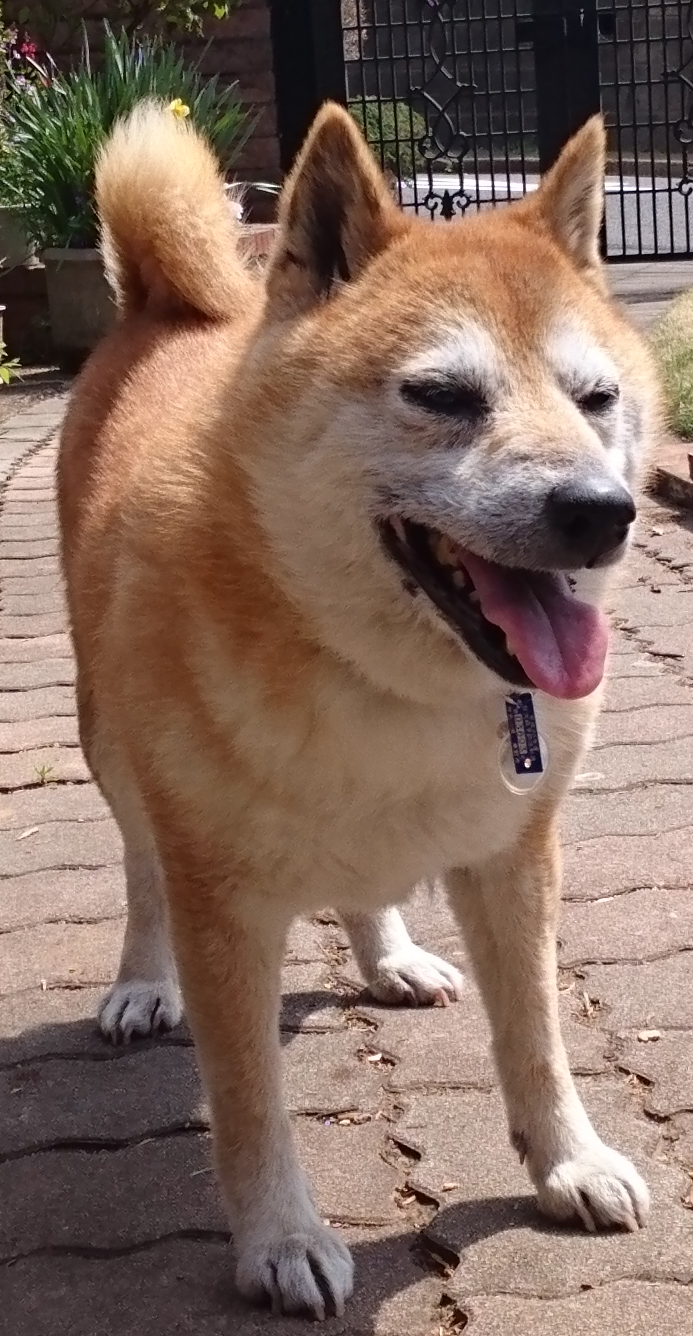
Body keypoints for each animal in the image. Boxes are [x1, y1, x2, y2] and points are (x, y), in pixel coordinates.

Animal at [58, 101, 656, 1314]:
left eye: (596, 399)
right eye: (443, 395)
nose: (601, 512)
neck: (382, 678)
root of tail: (163, 309)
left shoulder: (514, 852)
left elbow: (535, 1035)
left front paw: (567, 1160)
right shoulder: (220, 899)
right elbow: (249, 1101)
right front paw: (280, 1238)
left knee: (366, 884)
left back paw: (389, 956)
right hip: (112, 746)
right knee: (139, 867)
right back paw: (141, 983)